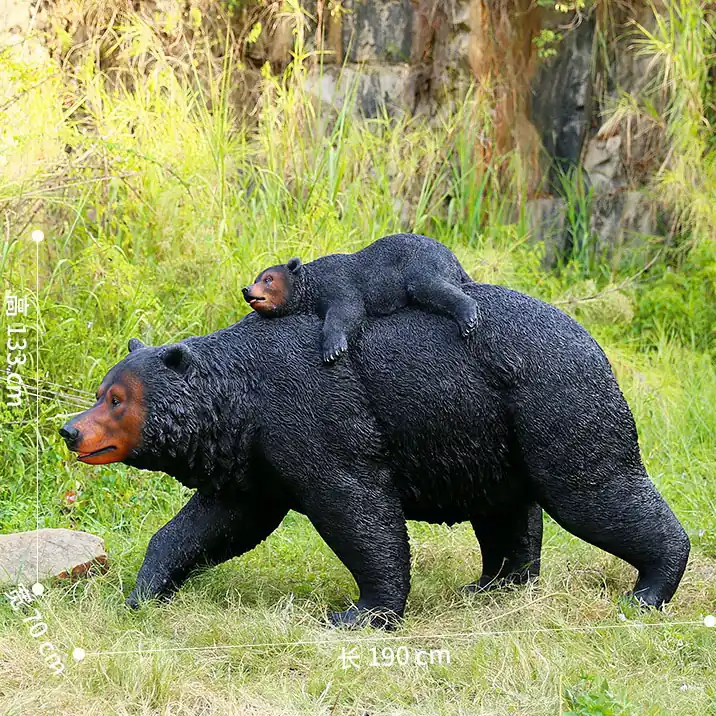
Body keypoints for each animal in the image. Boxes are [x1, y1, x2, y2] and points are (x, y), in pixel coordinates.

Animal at [59, 282, 690, 628]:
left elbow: (355, 506)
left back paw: (649, 588)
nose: (70, 430)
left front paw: (360, 611)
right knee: (507, 509)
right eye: (101, 390)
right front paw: (142, 593)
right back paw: (494, 586)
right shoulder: (253, 459)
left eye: (116, 399)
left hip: (552, 401)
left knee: (591, 486)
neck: (241, 399)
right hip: (488, 432)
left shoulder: (313, 414)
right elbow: (214, 521)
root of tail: (592, 340)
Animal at [241, 233, 478, 362]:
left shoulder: (338, 283)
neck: (313, 285)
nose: (246, 289)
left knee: (428, 286)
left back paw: (467, 318)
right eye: (256, 278)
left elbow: (348, 311)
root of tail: (452, 256)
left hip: (421, 262)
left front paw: (332, 349)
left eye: (268, 279)